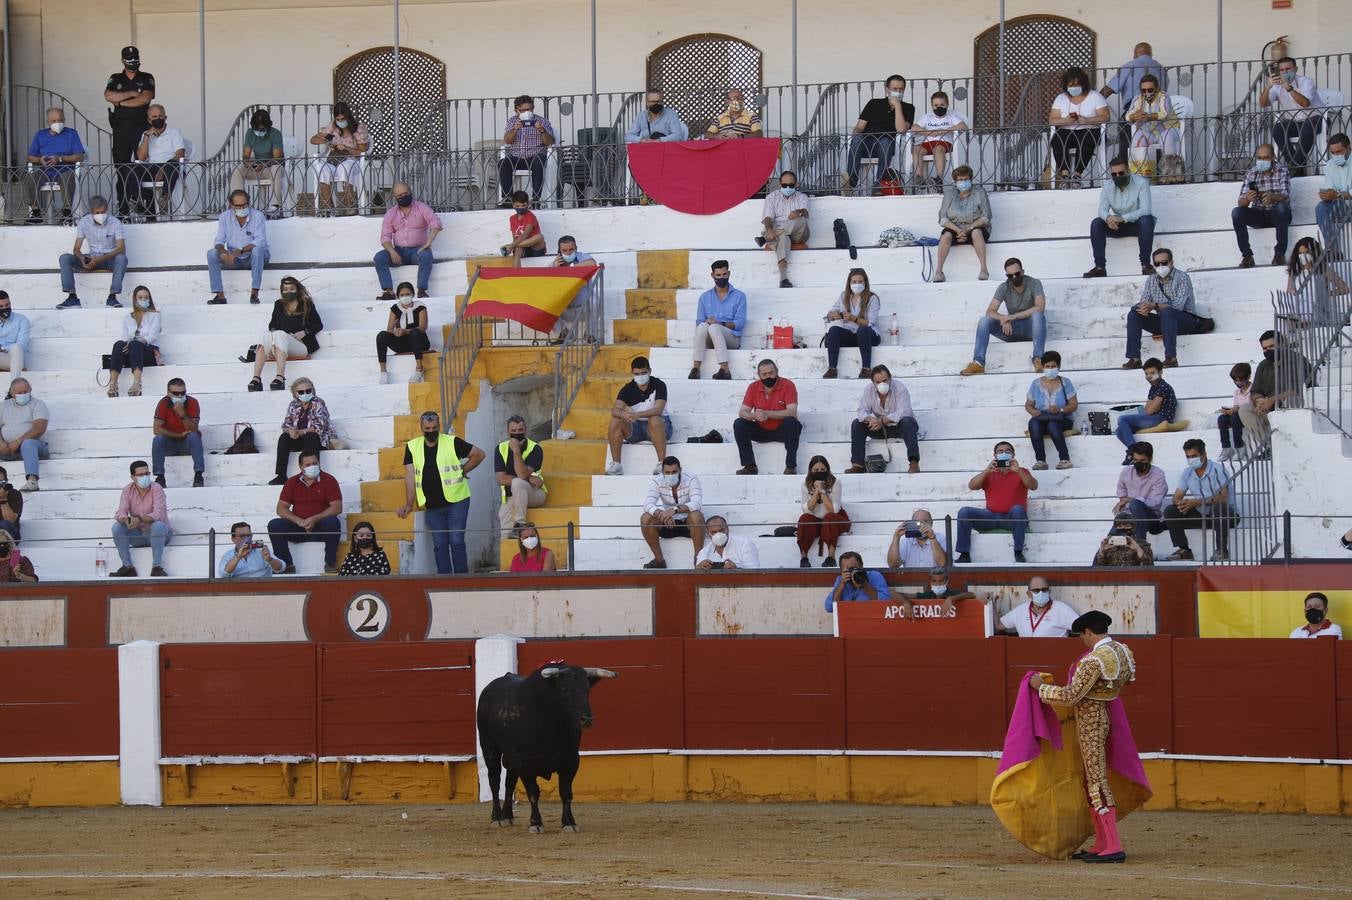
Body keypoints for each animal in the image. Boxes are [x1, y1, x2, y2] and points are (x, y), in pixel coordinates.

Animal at [475, 659, 619, 827]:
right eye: (564, 690)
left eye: (587, 690)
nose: (587, 719)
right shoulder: (525, 763)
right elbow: (533, 793)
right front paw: (536, 823)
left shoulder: (571, 761)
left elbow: (566, 792)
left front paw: (569, 822)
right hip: (488, 746)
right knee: (494, 780)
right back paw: (496, 817)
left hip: (510, 756)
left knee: (509, 781)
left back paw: (507, 816)